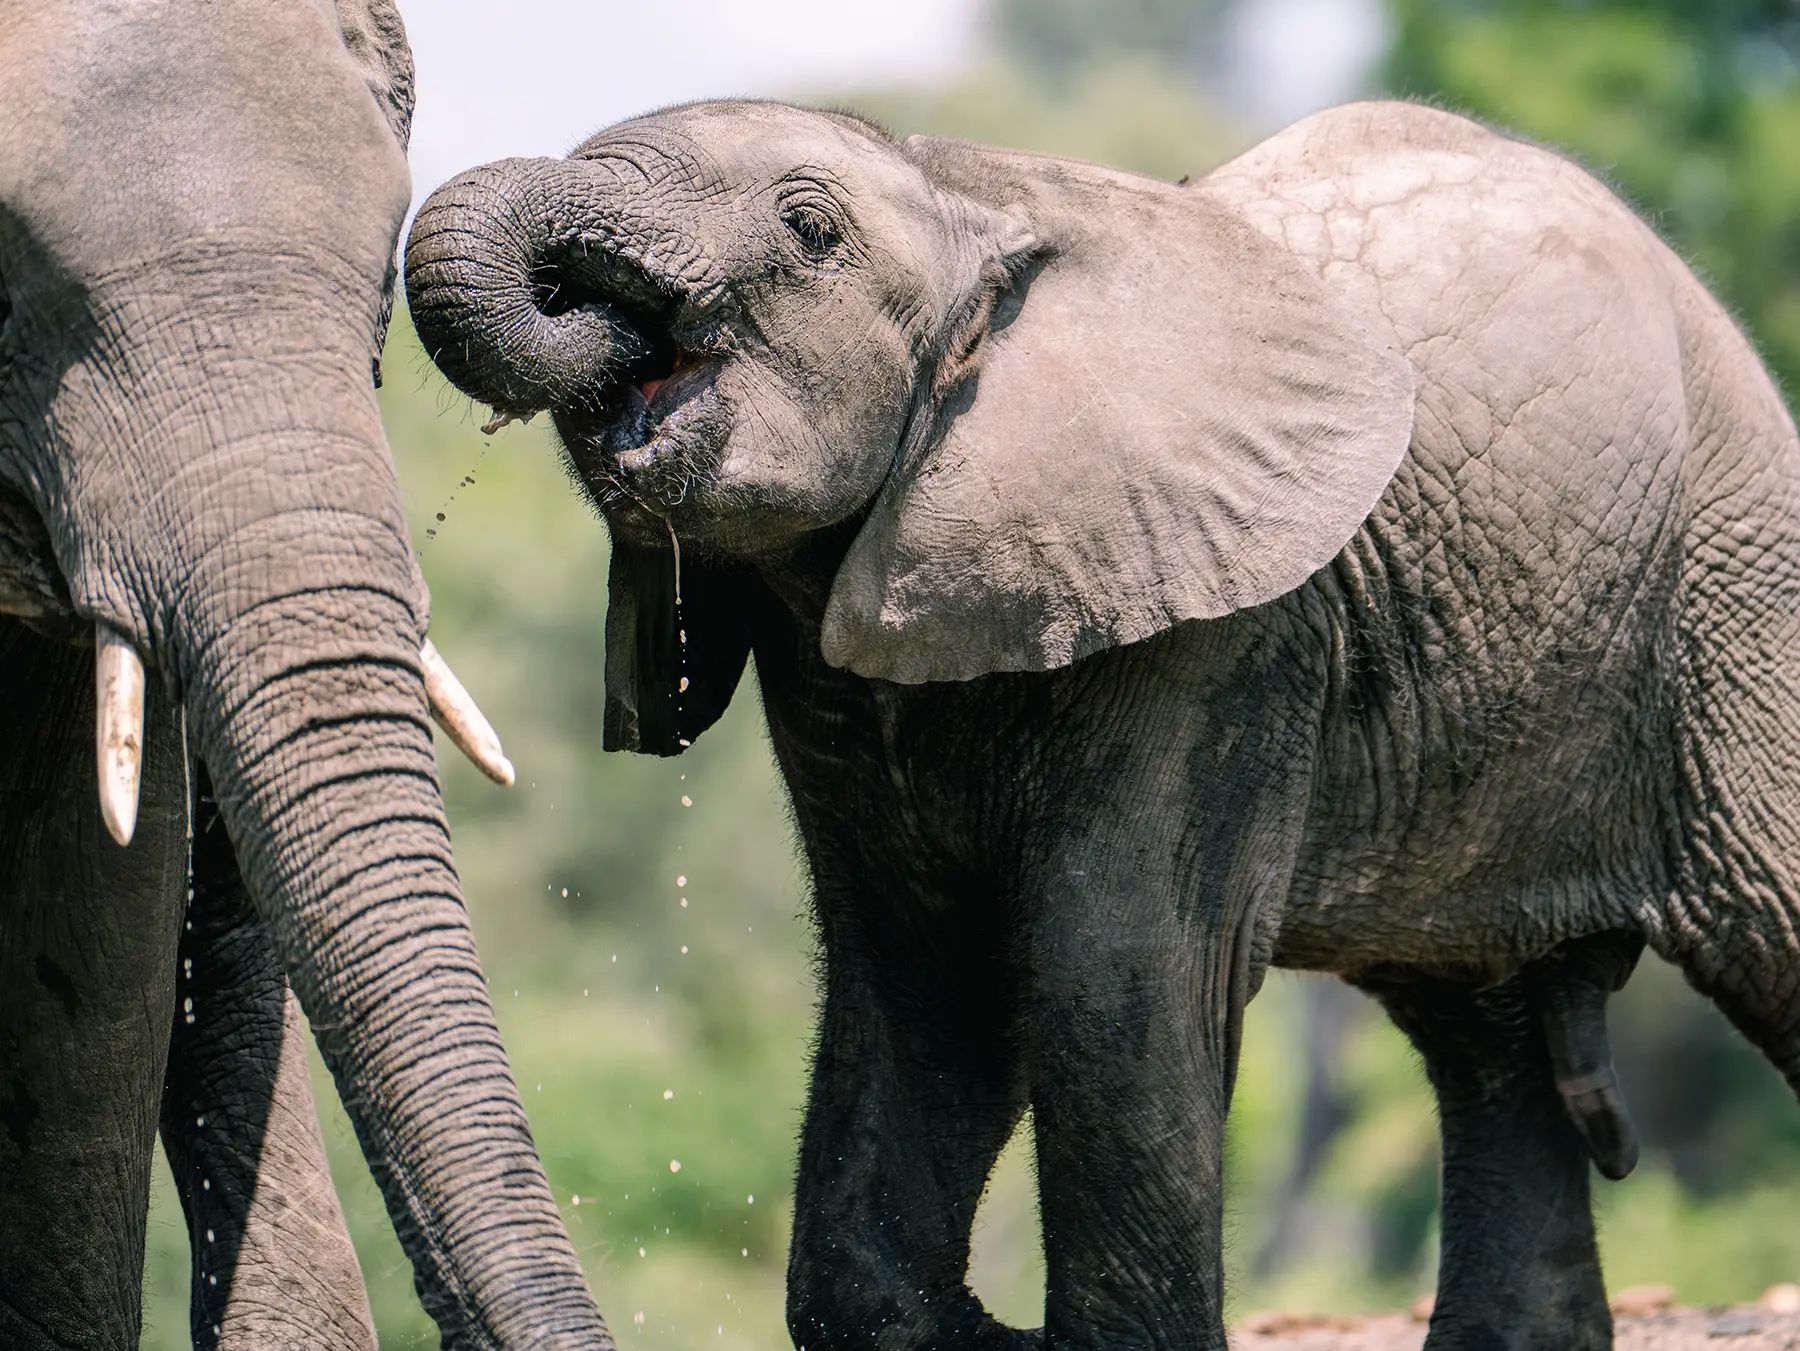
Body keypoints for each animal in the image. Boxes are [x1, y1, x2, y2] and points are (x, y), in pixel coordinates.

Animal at [404, 98, 1800, 1350]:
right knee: (1483, 1028)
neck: (971, 197)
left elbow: (1107, 975)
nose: (579, 311)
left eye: (808, 230)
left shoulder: (1217, 626)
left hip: (1737, 581)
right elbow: (919, 966)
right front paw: (980, 1331)